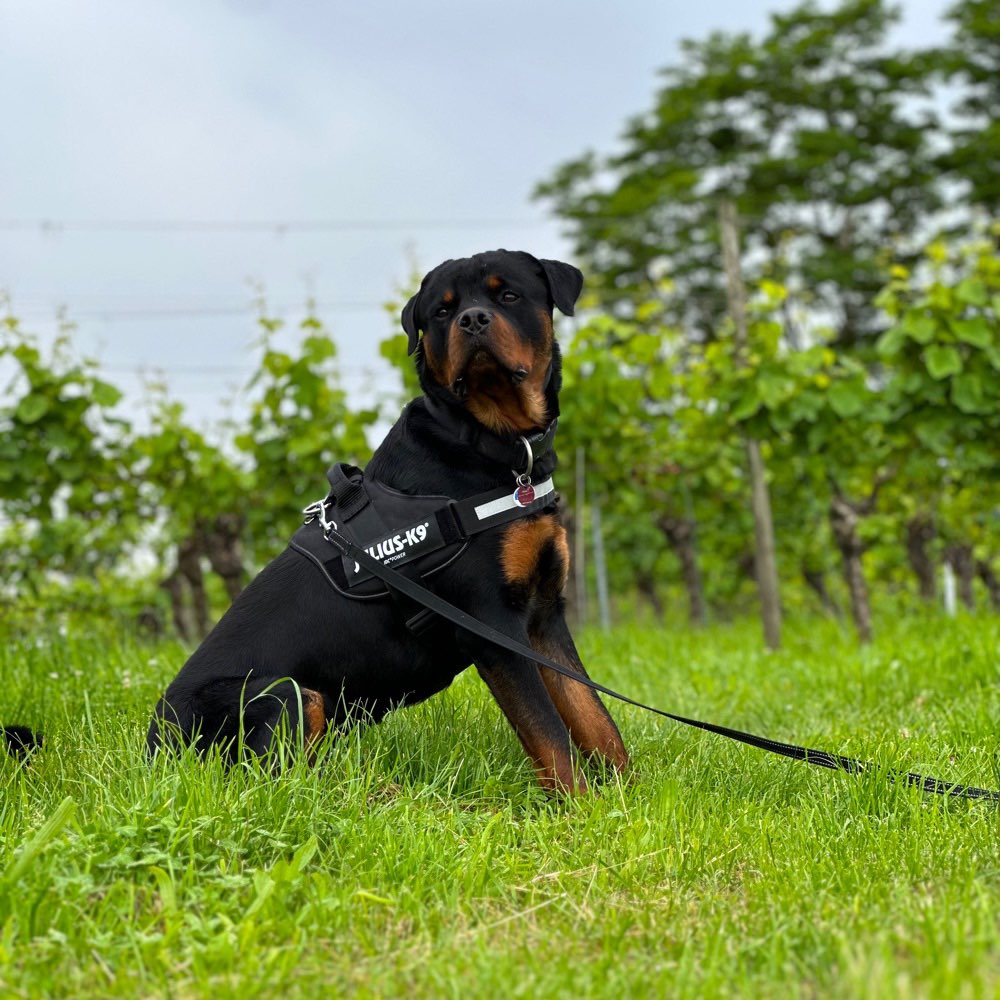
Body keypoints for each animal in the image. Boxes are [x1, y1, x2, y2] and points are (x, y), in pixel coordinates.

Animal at [147, 252, 624, 796]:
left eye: (508, 295)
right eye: (442, 311)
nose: (472, 320)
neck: (491, 442)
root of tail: (154, 746)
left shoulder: (544, 617)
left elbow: (595, 719)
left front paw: (627, 796)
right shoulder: (492, 626)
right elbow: (550, 737)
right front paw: (579, 806)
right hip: (286, 693)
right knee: (276, 781)